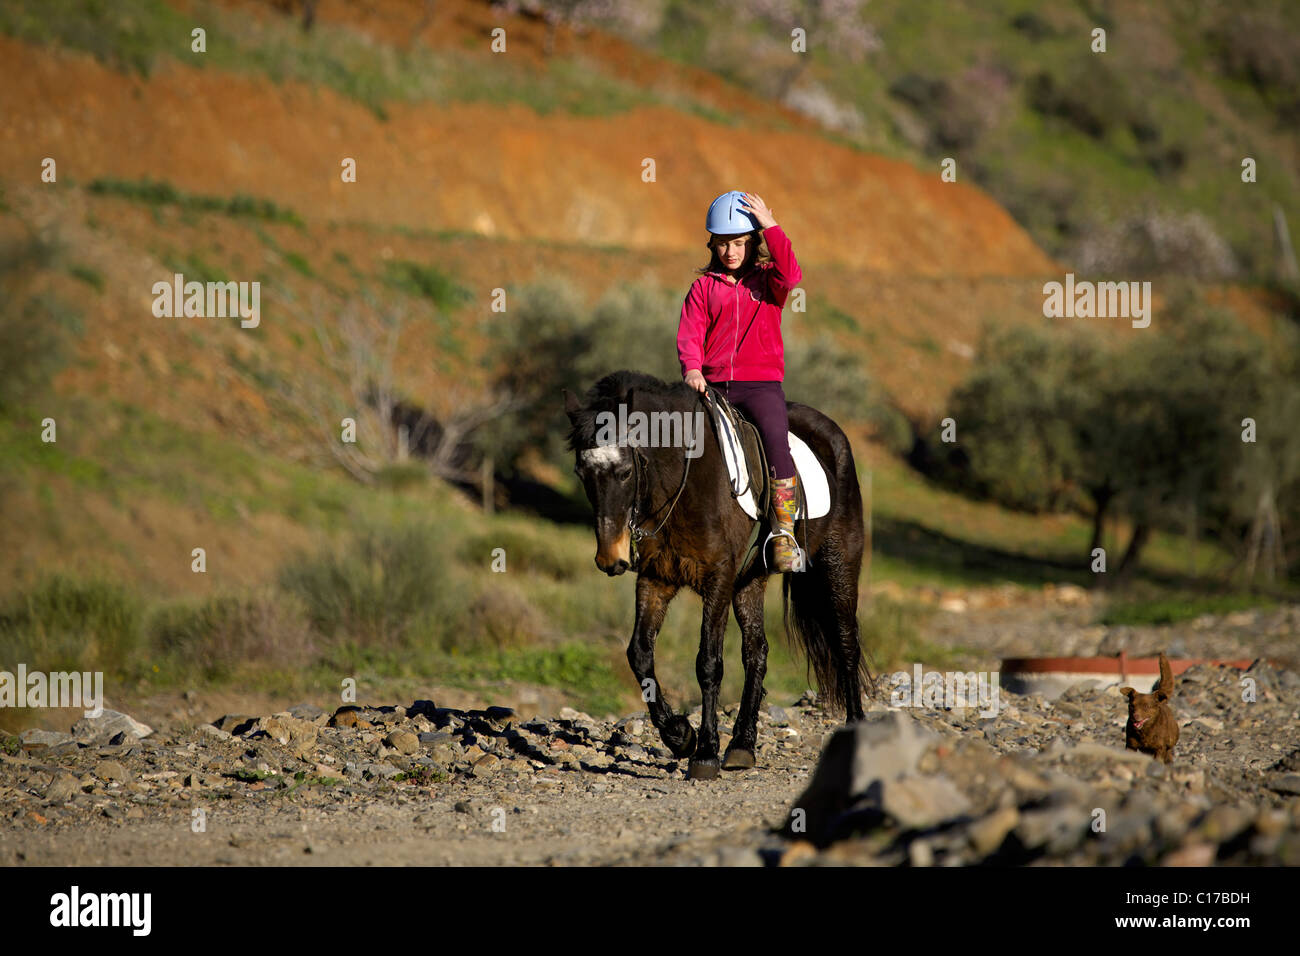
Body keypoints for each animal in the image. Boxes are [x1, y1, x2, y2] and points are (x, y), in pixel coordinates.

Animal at [564, 369, 868, 780]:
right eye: (582, 473)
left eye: (626, 471)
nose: (610, 558)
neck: (685, 477)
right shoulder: (657, 579)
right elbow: (640, 654)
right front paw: (679, 735)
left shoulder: (718, 579)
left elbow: (708, 662)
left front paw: (705, 752)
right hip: (749, 581)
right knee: (757, 652)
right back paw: (741, 746)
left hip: (838, 565)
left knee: (846, 643)